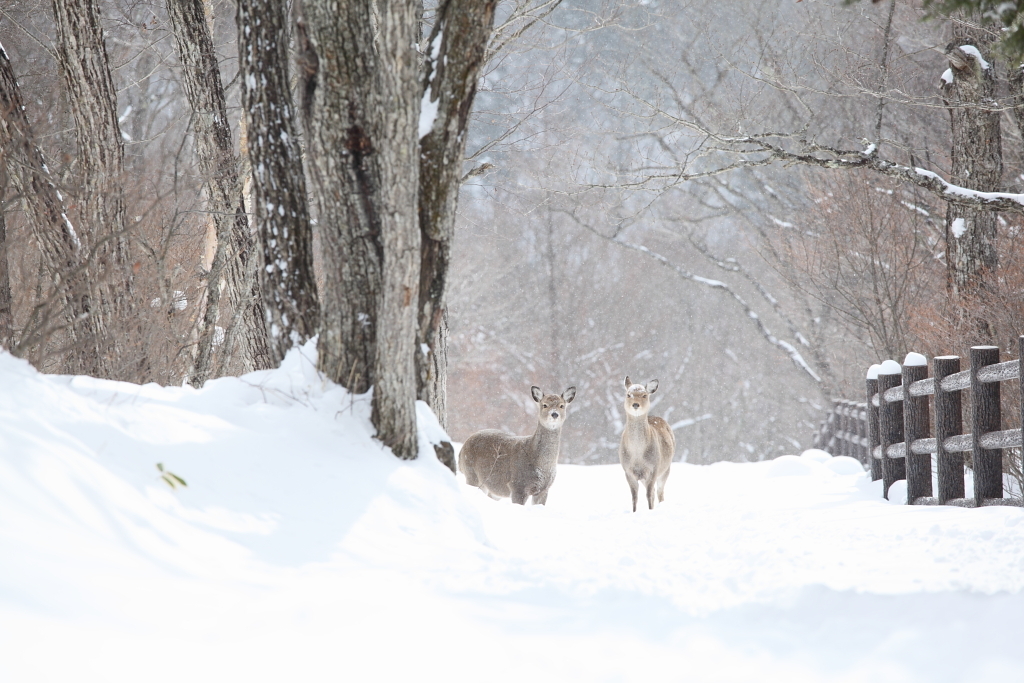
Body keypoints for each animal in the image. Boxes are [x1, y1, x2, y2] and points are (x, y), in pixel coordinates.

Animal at [618, 376, 675, 509]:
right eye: (628, 394)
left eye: (644, 395)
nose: (635, 404)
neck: (637, 455)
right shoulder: (627, 470)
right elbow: (634, 497)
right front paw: (634, 511)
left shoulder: (653, 468)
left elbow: (649, 495)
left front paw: (650, 510)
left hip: (666, 468)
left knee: (659, 492)